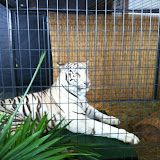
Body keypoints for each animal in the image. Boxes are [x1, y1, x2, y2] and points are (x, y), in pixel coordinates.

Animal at [0, 60, 139, 144]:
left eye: (87, 72)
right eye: (77, 74)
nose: (87, 83)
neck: (80, 96)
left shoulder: (87, 108)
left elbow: (99, 113)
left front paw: (113, 119)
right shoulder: (78, 120)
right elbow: (103, 127)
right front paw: (130, 137)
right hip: (18, 123)